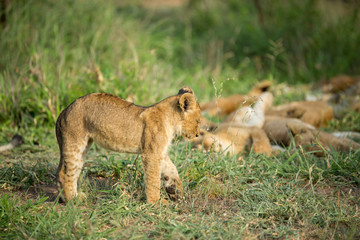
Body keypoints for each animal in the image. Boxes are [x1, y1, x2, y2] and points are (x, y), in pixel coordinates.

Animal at [56, 87, 202, 205]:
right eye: (198, 121)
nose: (197, 135)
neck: (172, 121)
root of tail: (63, 111)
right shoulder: (151, 154)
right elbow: (153, 179)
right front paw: (156, 202)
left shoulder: (159, 151)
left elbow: (171, 168)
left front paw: (175, 188)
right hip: (75, 142)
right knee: (64, 173)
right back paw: (72, 200)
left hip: (83, 146)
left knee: (70, 171)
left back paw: (70, 197)